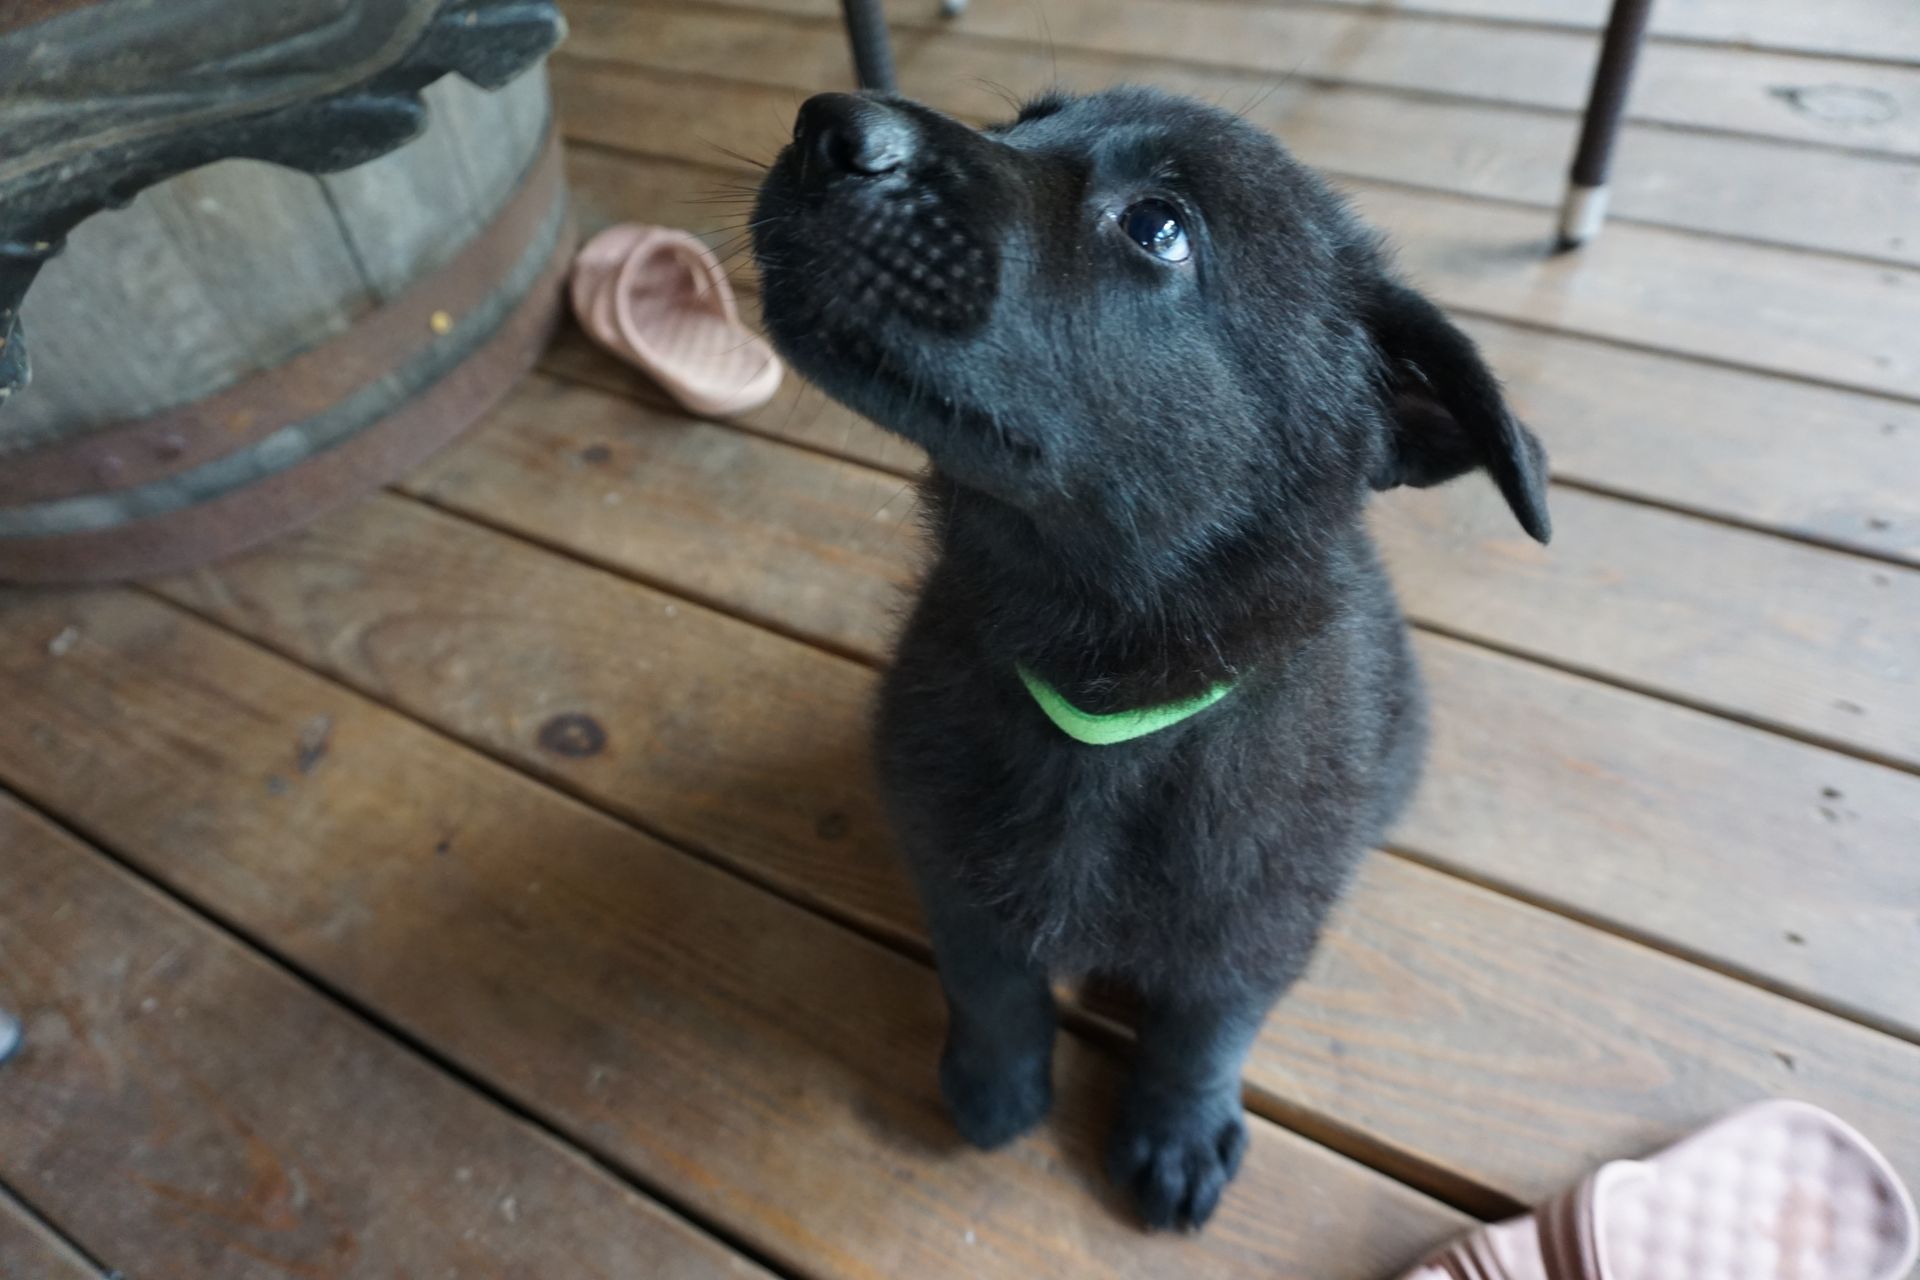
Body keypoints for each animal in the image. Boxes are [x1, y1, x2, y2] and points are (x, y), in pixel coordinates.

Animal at [748, 87, 1543, 1228]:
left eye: (1159, 226)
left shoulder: (1262, 922)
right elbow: (990, 985)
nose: (827, 127)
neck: (1104, 703)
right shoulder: (948, 862)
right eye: (1025, 120)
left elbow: (1202, 1031)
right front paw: (996, 1084)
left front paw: (1176, 1132)